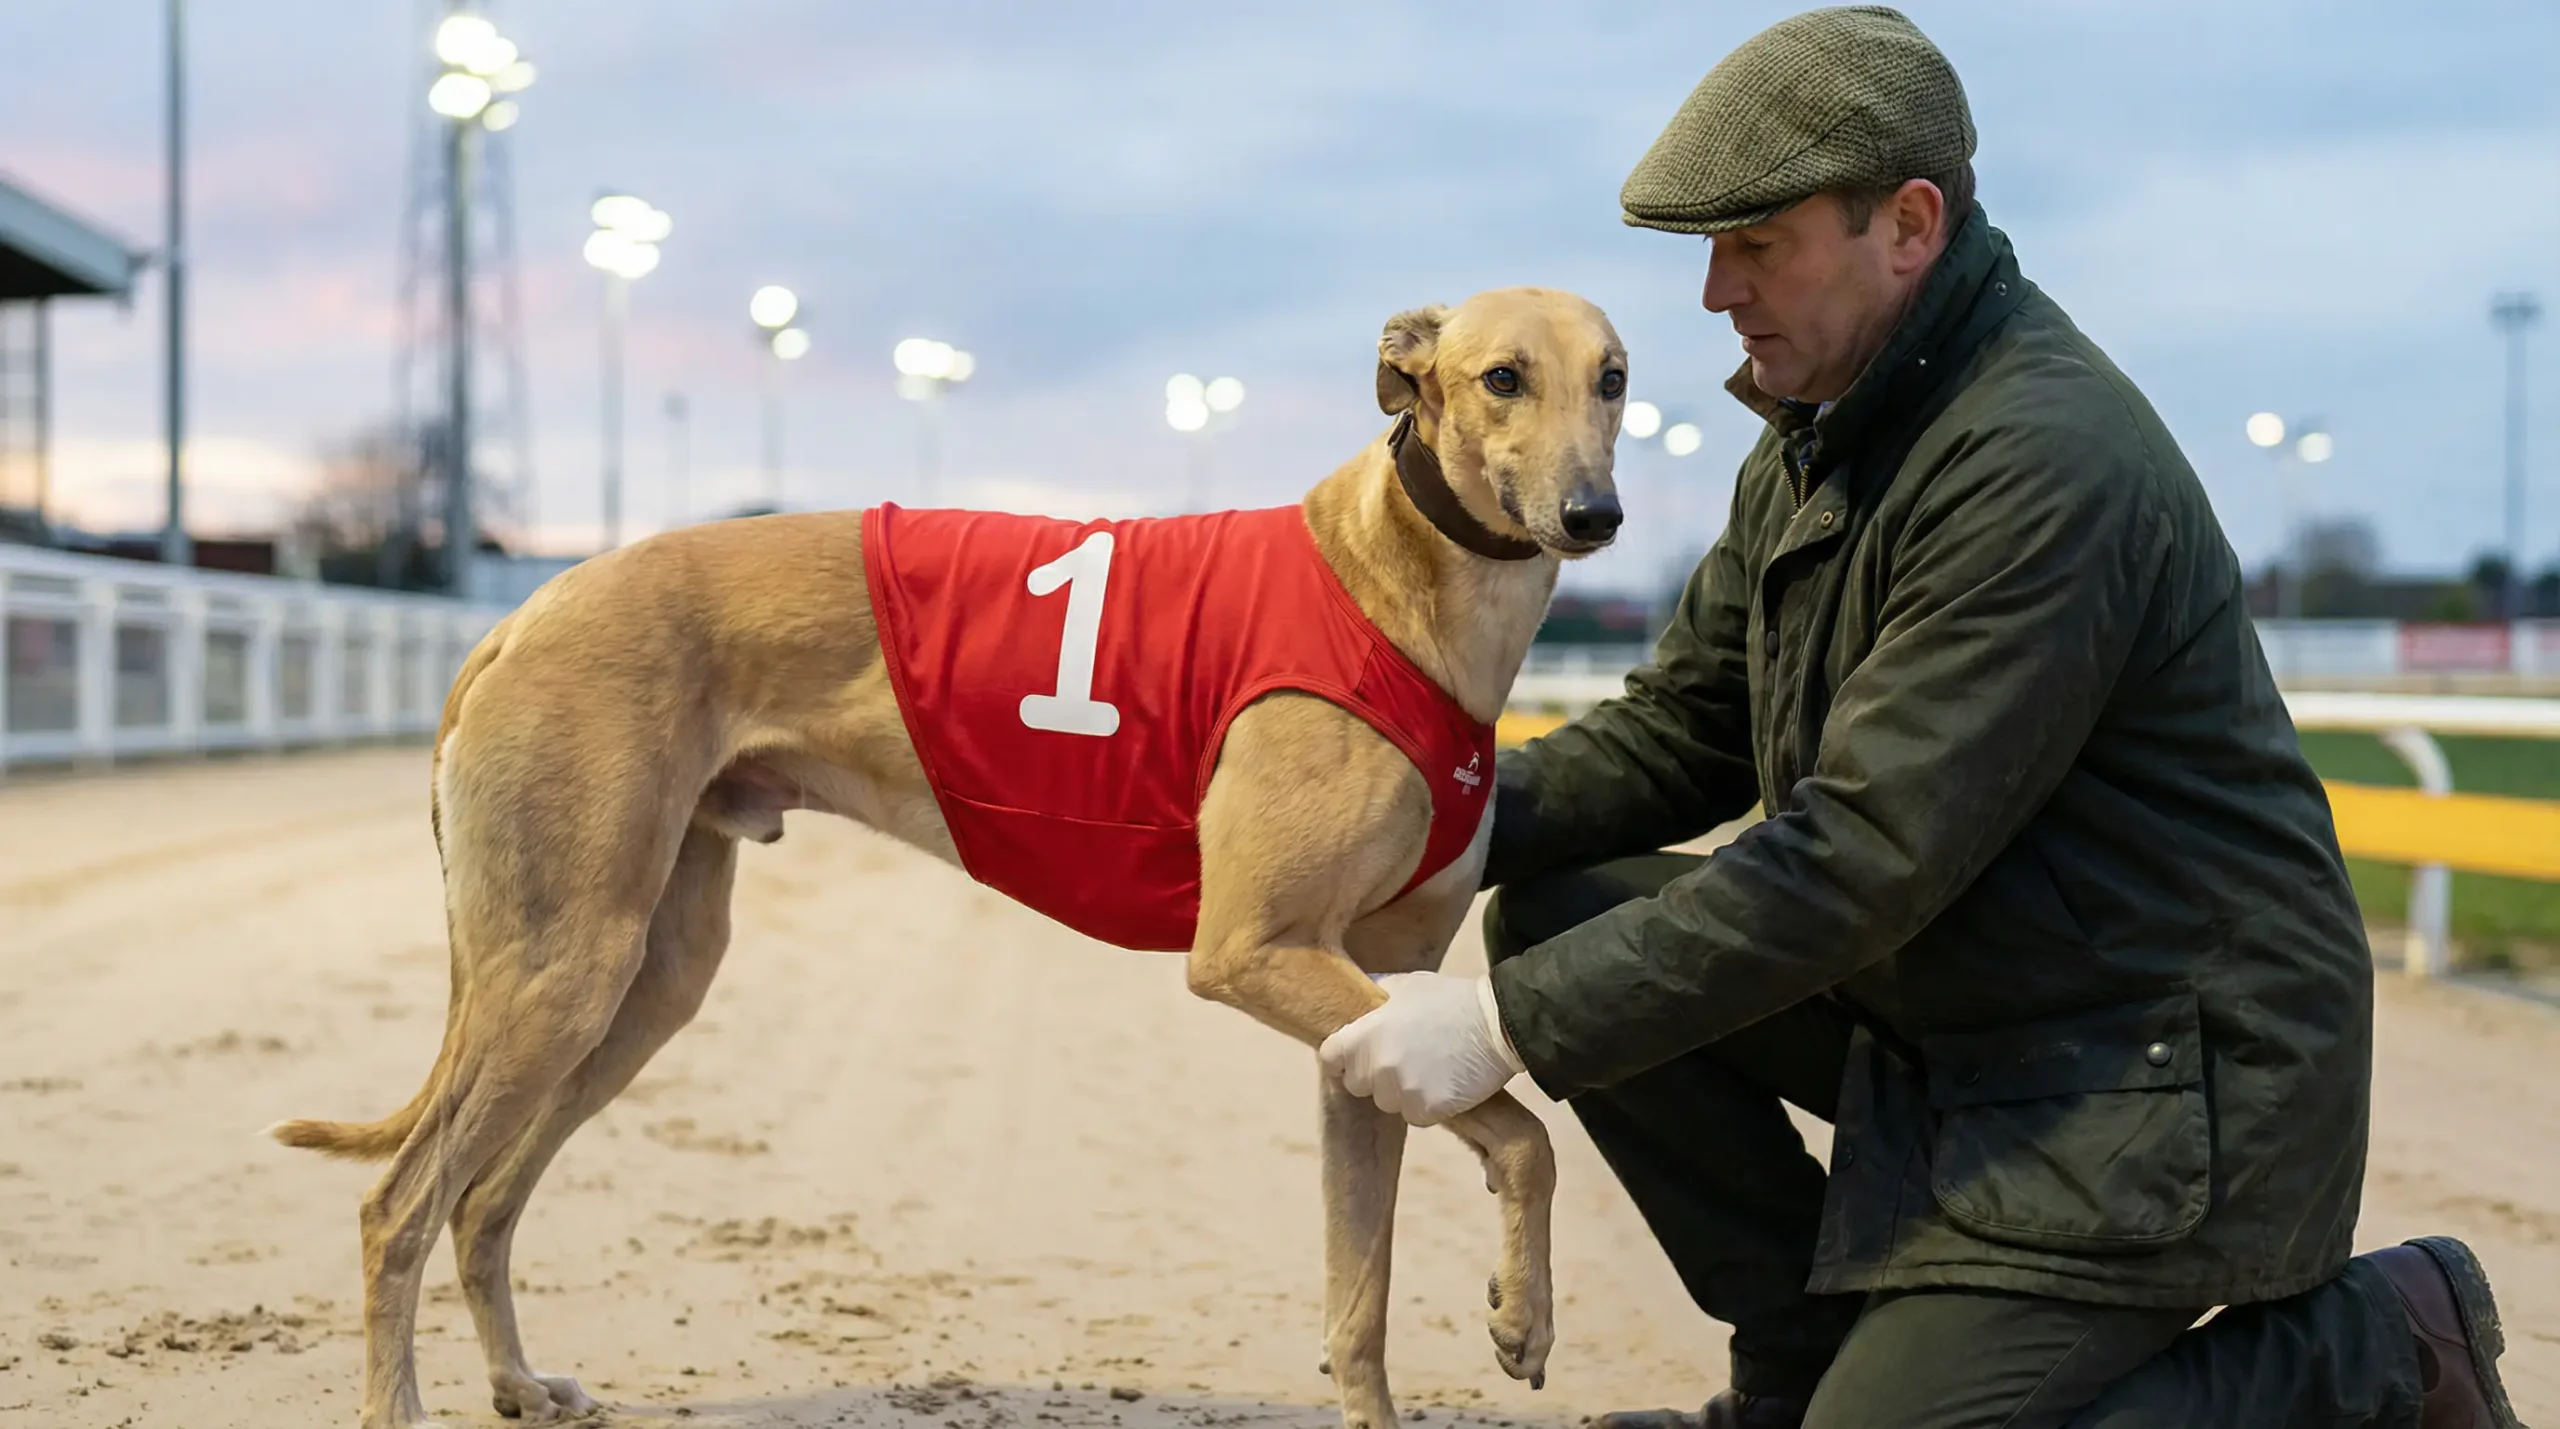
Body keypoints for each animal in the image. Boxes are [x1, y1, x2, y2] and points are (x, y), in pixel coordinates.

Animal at [271, 287, 1629, 1429]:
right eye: (1501, 377)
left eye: (1613, 378)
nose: (1596, 515)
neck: (1395, 578)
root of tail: (521, 616)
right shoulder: (1255, 949)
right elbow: (1524, 1133)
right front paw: (1522, 1320)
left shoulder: (1372, 1017)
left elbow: (1364, 1290)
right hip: (560, 966)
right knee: (400, 1205)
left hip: (643, 977)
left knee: (484, 1197)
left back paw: (516, 1382)